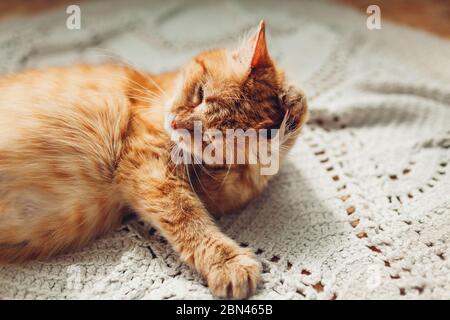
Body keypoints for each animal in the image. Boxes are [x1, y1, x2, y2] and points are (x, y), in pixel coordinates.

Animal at [0, 21, 308, 298]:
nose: (175, 123)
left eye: (211, 139)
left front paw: (288, 115)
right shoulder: (150, 167)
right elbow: (187, 216)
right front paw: (226, 262)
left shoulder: (211, 188)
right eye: (200, 94)